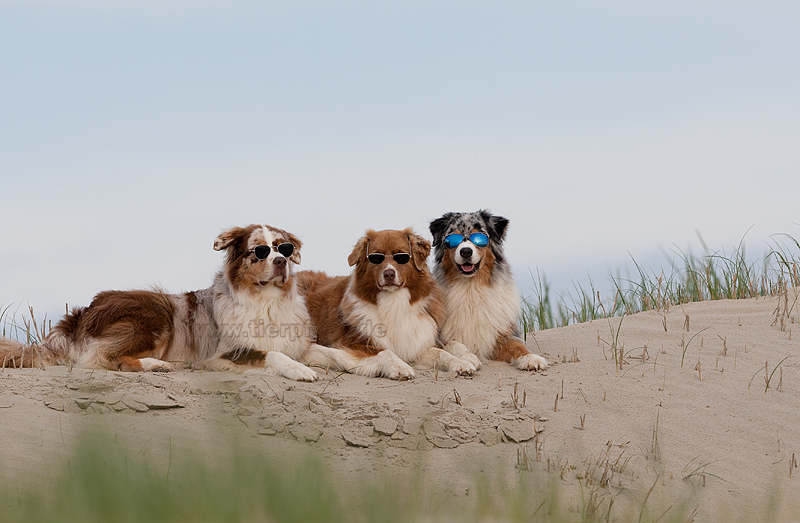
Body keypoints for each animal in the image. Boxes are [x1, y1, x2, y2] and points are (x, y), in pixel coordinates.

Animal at [0, 224, 318, 380]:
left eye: (284, 248)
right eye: (259, 250)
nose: (280, 261)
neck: (266, 301)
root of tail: (80, 315)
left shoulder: (296, 343)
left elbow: (317, 351)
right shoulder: (224, 353)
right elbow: (272, 354)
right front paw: (300, 371)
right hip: (158, 316)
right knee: (103, 357)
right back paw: (155, 365)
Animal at [298, 229, 476, 380]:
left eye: (401, 256)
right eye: (376, 258)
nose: (389, 274)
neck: (394, 302)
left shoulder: (414, 345)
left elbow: (441, 353)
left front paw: (461, 363)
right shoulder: (352, 345)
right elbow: (386, 352)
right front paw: (399, 367)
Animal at [432, 212, 552, 372]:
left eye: (479, 237)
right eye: (451, 239)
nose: (465, 251)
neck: (471, 287)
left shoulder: (500, 334)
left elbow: (518, 346)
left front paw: (530, 358)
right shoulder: (438, 336)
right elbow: (452, 344)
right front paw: (468, 357)